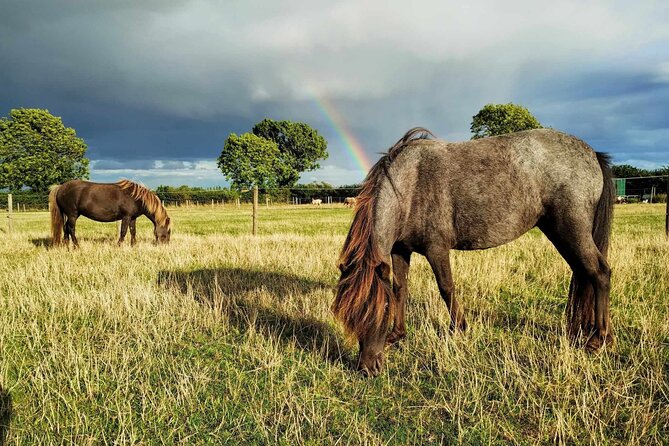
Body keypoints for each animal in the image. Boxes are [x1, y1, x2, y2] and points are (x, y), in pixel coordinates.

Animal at [333, 128, 614, 377]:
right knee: (583, 273)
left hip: (571, 230)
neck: (409, 185)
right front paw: (397, 334)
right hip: (559, 232)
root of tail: (591, 153)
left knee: (599, 273)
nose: (367, 367)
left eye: (380, 309)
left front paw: (458, 328)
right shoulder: (401, 251)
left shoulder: (436, 249)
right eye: (350, 315)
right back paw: (580, 329)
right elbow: (400, 288)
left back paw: (599, 338)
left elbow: (446, 288)